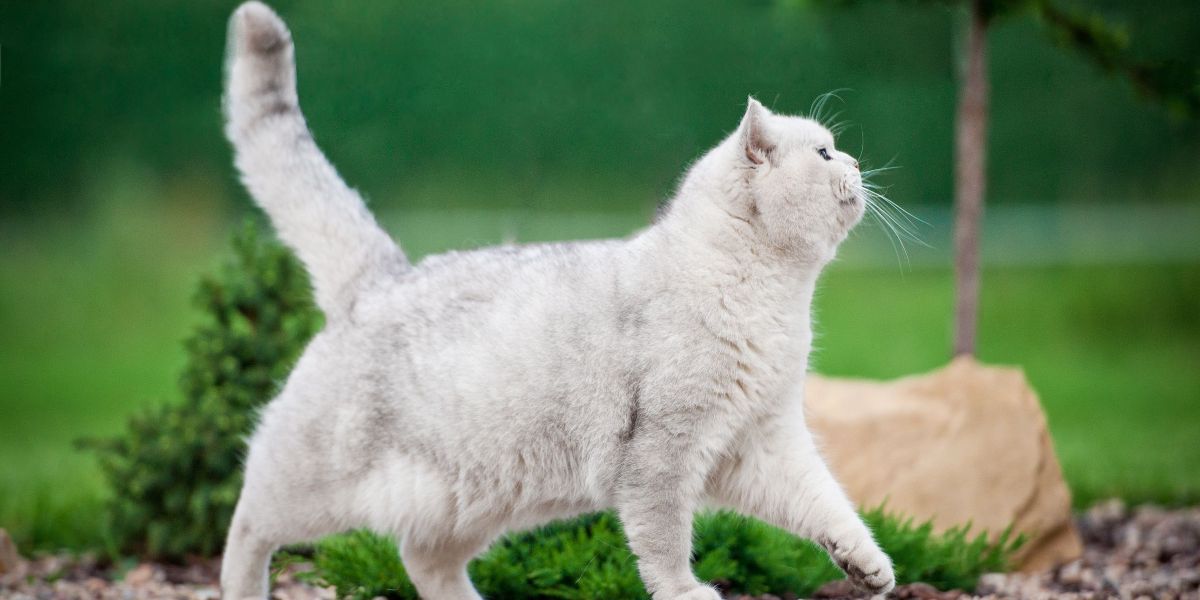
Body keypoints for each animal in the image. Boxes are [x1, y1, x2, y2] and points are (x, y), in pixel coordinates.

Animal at [223, 2, 902, 597]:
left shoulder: (766, 442)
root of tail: (383, 274)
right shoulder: (663, 455)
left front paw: (868, 566)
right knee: (248, 522)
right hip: (313, 486)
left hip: (467, 500)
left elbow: (828, 505)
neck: (773, 298)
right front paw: (687, 592)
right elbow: (664, 543)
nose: (856, 162)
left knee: (423, 560)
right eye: (824, 152)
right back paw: (243, 588)